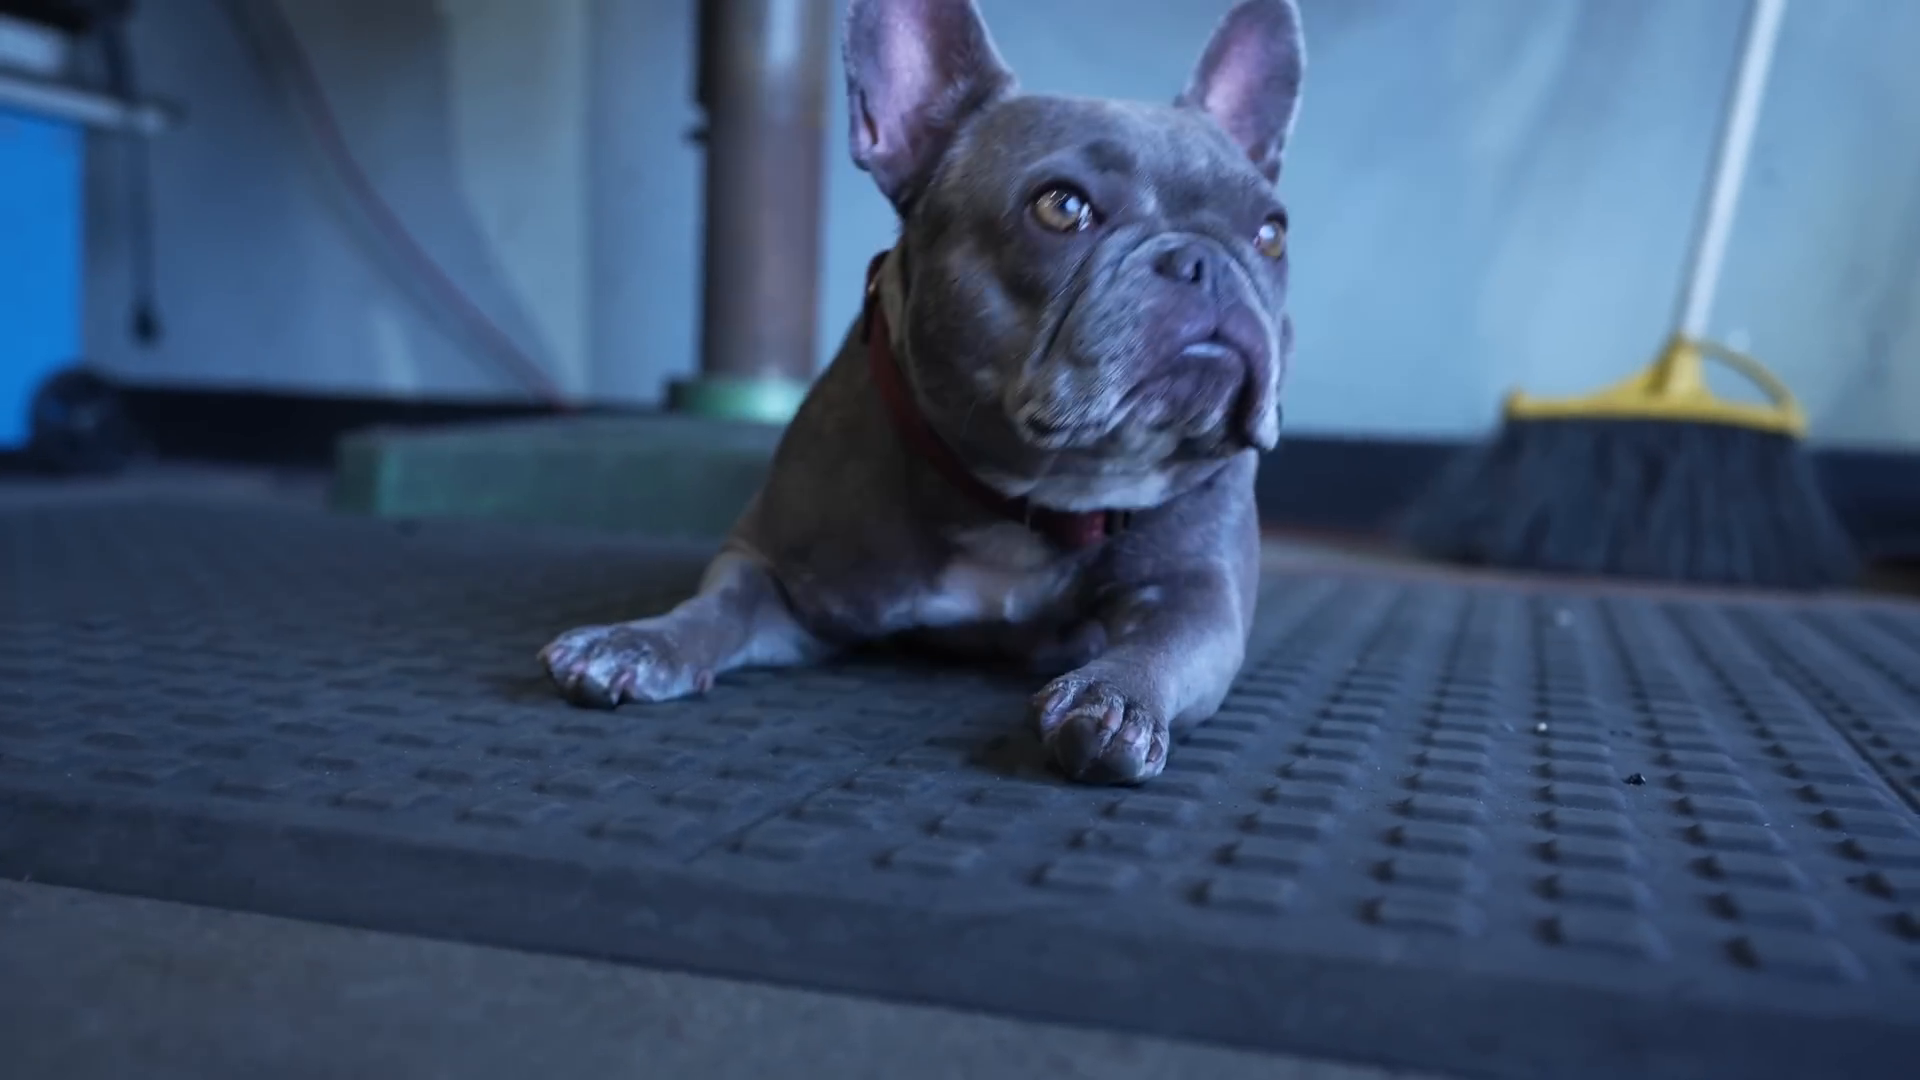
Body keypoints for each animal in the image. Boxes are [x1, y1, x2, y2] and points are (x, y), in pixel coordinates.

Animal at [549, 0, 1313, 780]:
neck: (1024, 494)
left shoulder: (1199, 598)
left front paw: (1117, 697)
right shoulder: (777, 573)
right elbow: (718, 607)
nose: (1203, 262)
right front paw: (639, 641)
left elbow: (1166, 644)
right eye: (1061, 208)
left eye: (1272, 235)